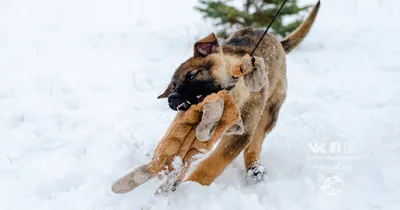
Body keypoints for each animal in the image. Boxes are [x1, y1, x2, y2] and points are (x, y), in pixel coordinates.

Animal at [158, 0, 320, 185]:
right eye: (173, 86)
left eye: (192, 75)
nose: (171, 99)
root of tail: (276, 40)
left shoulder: (241, 134)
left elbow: (212, 165)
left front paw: (193, 186)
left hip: (269, 112)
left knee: (255, 142)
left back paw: (254, 168)